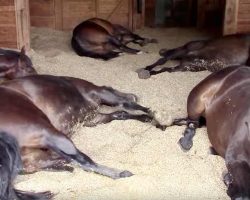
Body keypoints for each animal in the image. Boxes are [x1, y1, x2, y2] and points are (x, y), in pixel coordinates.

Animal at [0, 74, 166, 180]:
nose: (134, 94)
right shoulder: (101, 96)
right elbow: (129, 106)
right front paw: (158, 119)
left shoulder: (92, 118)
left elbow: (121, 113)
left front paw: (149, 119)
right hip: (50, 134)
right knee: (84, 162)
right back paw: (121, 174)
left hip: (37, 157)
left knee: (65, 161)